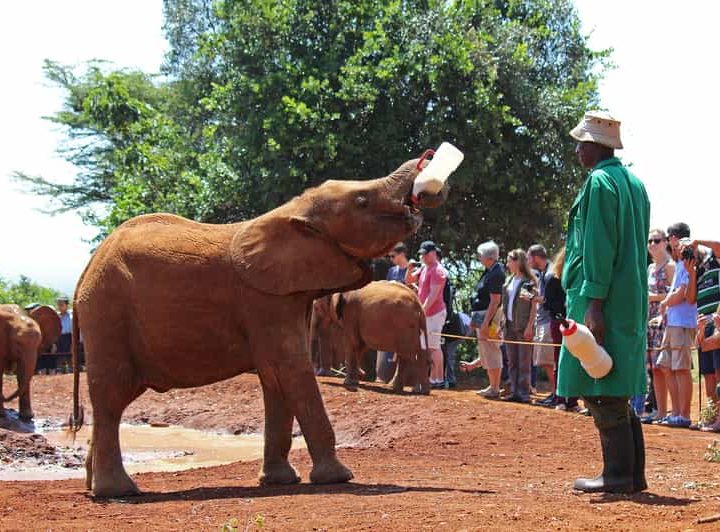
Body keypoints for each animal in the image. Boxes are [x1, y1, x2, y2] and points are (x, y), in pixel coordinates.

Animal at [71, 156, 444, 496]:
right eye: (362, 200)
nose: (428, 160)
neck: (294, 211)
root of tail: (83, 275)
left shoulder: (285, 298)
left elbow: (276, 378)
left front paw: (281, 481)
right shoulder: (264, 300)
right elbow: (290, 370)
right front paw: (339, 477)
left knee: (114, 402)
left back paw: (94, 486)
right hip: (107, 315)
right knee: (111, 398)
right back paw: (118, 491)